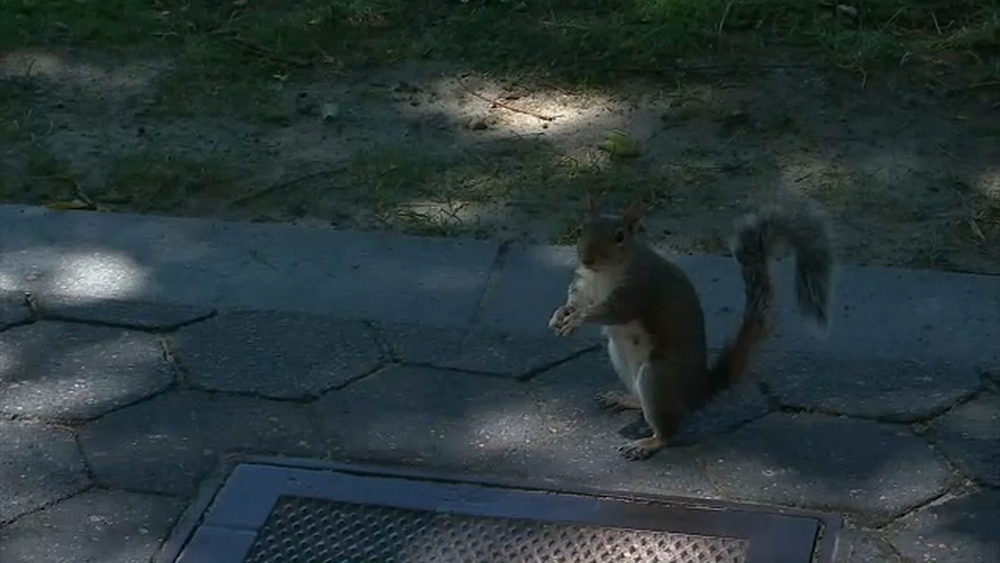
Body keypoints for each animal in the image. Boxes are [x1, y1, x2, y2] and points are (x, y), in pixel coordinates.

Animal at [548, 196, 834, 461]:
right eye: (582, 229)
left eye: (620, 236)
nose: (587, 257)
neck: (602, 273)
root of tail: (698, 390)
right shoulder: (584, 284)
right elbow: (575, 300)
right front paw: (560, 315)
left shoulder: (637, 289)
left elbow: (609, 312)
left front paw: (577, 319)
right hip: (621, 359)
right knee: (641, 400)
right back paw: (623, 399)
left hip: (658, 377)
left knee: (667, 430)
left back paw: (647, 443)